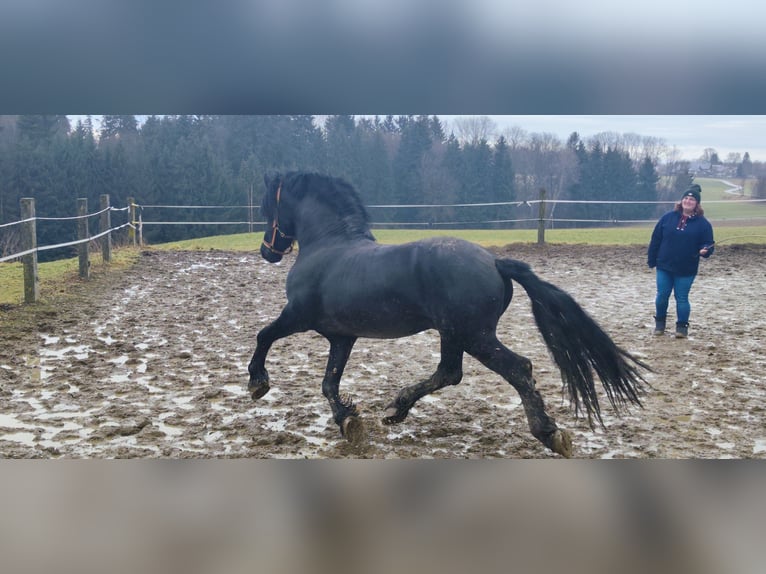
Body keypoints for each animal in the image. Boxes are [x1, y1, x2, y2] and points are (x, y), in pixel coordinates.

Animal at [247, 171, 650, 457]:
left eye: (269, 208)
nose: (267, 252)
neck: (329, 246)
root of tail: (495, 262)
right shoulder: (341, 336)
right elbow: (329, 382)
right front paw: (349, 423)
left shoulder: (298, 316)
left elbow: (264, 335)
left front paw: (258, 384)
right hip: (454, 334)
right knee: (449, 372)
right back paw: (395, 409)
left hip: (472, 335)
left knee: (516, 368)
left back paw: (549, 434)